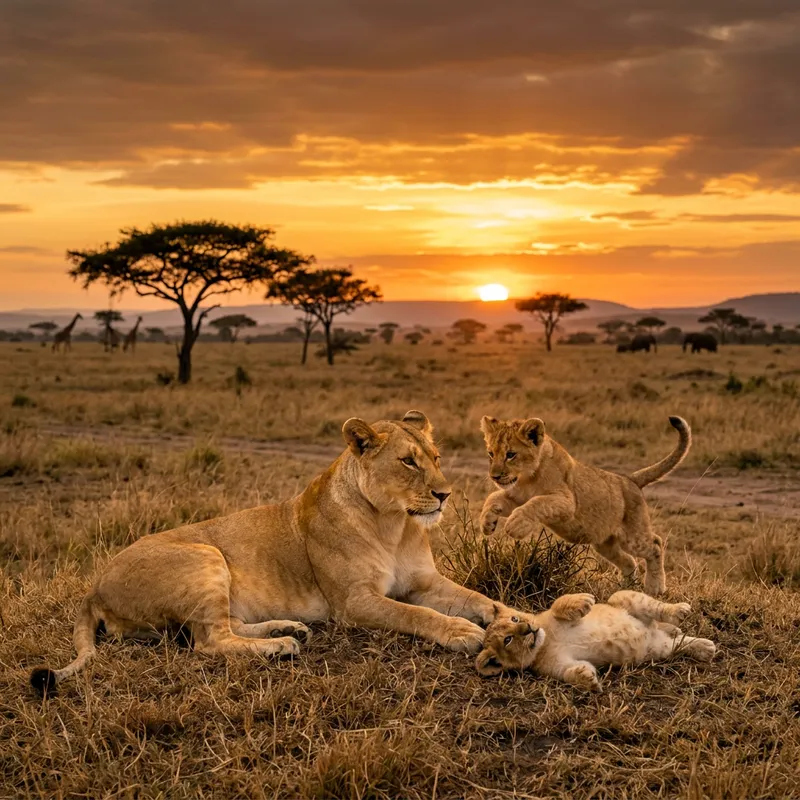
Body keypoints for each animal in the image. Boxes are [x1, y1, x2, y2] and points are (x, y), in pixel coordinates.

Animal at [31, 411, 508, 696]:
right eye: (408, 462)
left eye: (436, 457)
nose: (445, 494)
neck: (394, 524)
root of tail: (94, 587)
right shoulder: (354, 602)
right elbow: (416, 614)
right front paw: (461, 631)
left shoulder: (424, 580)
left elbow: (478, 599)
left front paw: (509, 620)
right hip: (205, 554)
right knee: (210, 641)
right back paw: (280, 646)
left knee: (227, 626)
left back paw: (288, 629)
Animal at [475, 592, 716, 691]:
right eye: (508, 640)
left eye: (515, 619)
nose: (528, 629)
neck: (546, 642)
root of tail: (653, 633)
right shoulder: (557, 666)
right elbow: (569, 672)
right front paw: (587, 678)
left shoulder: (549, 615)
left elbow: (558, 604)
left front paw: (583, 600)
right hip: (658, 650)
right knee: (679, 643)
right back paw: (706, 648)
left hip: (622, 598)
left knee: (659, 608)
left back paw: (679, 611)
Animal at [479, 415, 691, 595]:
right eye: (490, 453)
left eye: (511, 454)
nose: (494, 476)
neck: (526, 478)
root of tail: (630, 479)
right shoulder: (515, 496)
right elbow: (494, 498)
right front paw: (487, 524)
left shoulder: (566, 502)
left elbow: (537, 502)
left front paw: (516, 526)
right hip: (604, 544)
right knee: (629, 561)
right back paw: (624, 590)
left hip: (632, 536)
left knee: (655, 544)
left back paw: (655, 588)